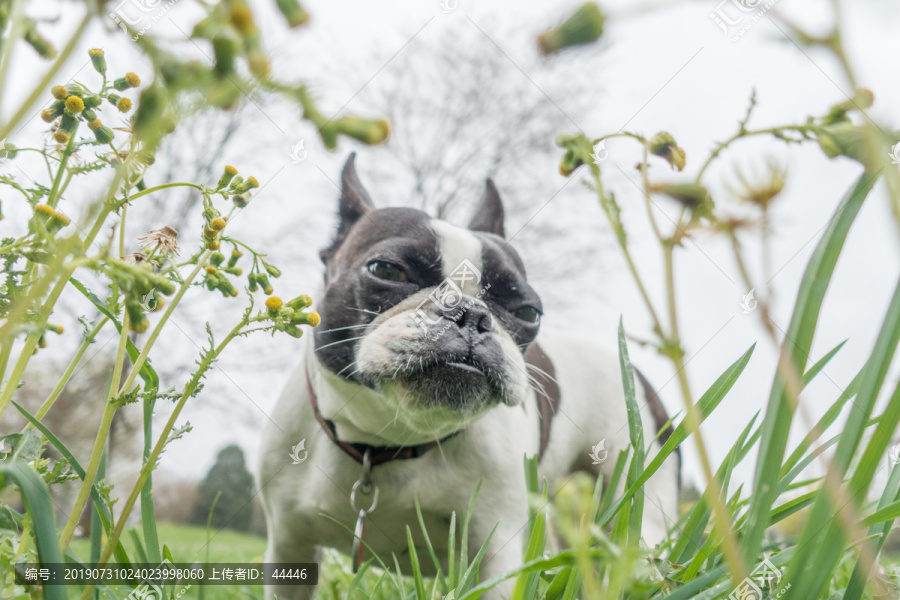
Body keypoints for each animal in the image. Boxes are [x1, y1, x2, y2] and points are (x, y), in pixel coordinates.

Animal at [256, 156, 680, 600]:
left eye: (528, 311)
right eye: (387, 270)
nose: (471, 314)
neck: (390, 442)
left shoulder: (496, 551)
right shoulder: (288, 545)